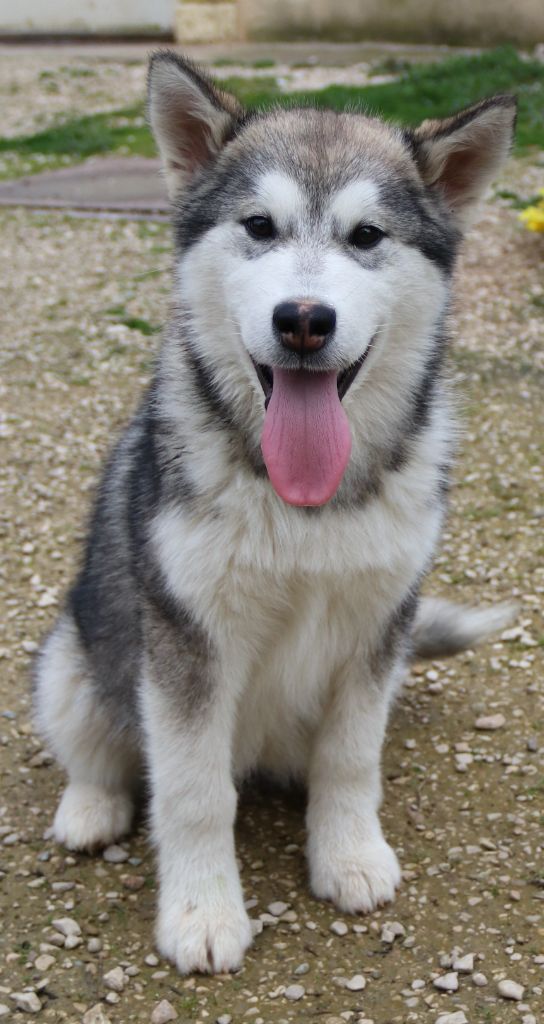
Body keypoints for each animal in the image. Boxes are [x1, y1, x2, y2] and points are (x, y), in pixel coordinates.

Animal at [31, 54, 516, 974]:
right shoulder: (186, 642)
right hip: (73, 654)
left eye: (367, 237)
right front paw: (202, 912)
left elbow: (351, 761)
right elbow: (191, 793)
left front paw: (349, 855)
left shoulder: (377, 629)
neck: (305, 506)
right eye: (259, 225)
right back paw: (91, 805)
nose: (303, 320)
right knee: (102, 744)